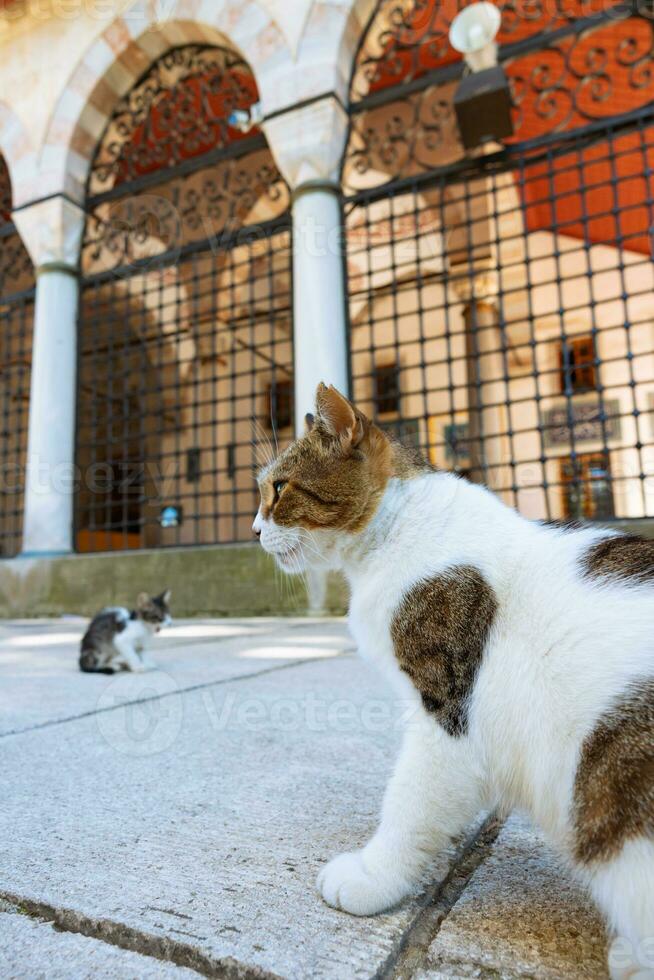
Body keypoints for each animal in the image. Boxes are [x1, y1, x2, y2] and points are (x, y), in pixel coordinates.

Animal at [254, 382, 652, 980]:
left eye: (279, 489)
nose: (255, 531)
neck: (396, 533)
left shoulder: (448, 718)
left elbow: (410, 803)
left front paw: (371, 877)